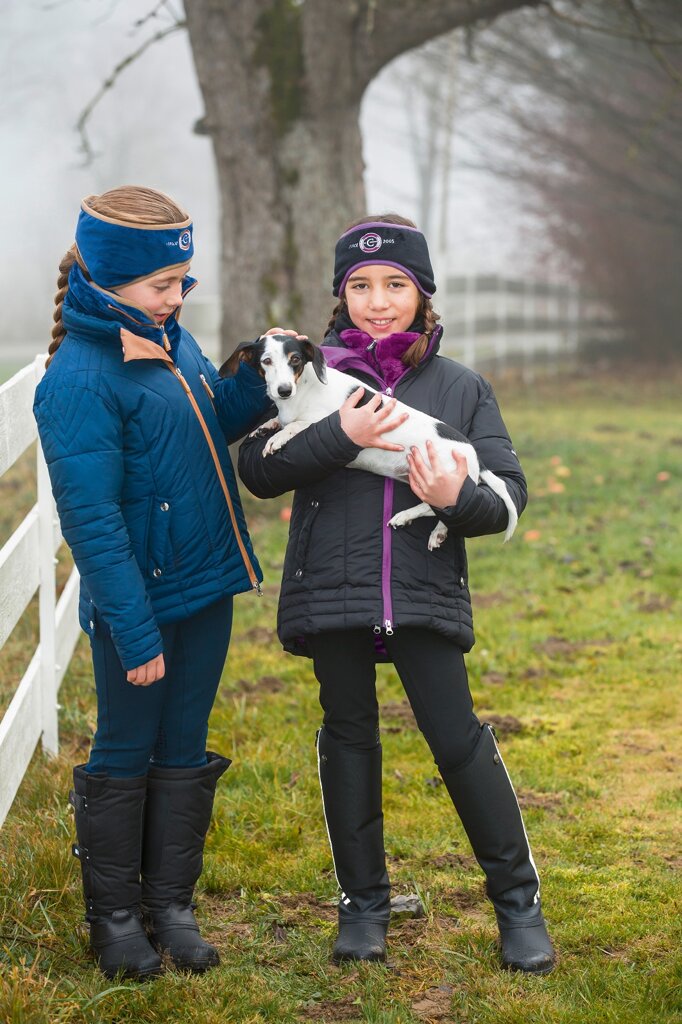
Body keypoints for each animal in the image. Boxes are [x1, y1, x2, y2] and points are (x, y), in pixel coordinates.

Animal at [220, 334, 518, 548]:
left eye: (295, 359)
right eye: (266, 361)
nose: (283, 390)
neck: (303, 390)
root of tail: (473, 454)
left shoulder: (324, 419)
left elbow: (296, 425)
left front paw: (278, 437)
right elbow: (279, 421)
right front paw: (266, 427)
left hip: (442, 480)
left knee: (441, 508)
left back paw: (414, 521)